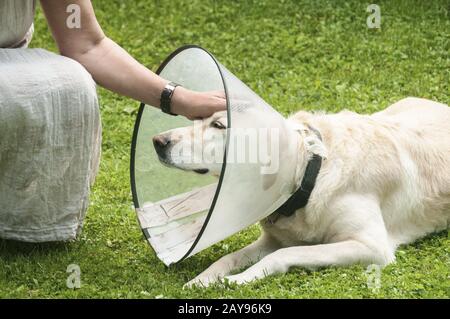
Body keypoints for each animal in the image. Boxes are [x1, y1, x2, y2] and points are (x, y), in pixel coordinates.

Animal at [153, 97, 448, 288]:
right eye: (197, 118)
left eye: (218, 125)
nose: (157, 141)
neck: (311, 175)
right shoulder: (271, 240)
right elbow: (229, 256)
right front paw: (202, 280)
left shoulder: (372, 247)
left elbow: (285, 254)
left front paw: (239, 279)